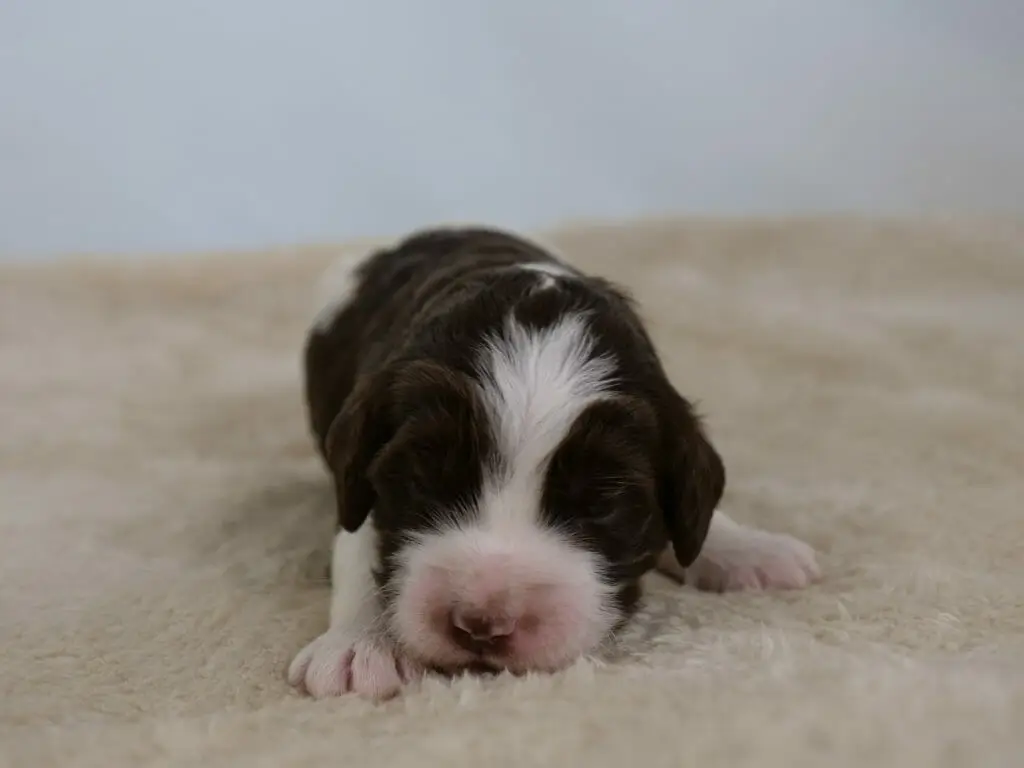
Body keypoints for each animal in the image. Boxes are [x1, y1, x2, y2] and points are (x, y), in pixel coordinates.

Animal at [290, 225, 823, 700]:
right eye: (422, 481)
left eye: (602, 502)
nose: (482, 625)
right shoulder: (360, 482)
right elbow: (359, 547)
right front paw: (360, 647)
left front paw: (751, 549)